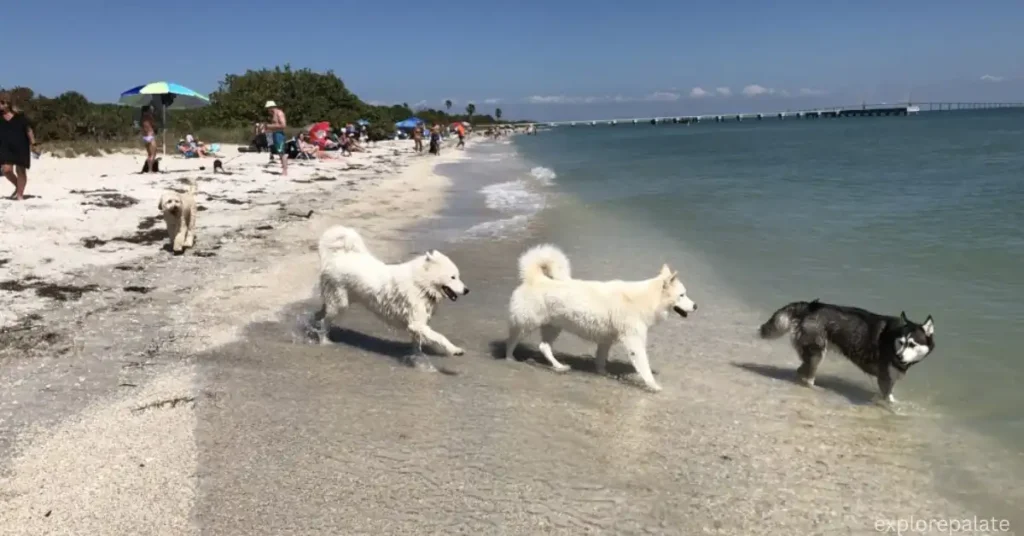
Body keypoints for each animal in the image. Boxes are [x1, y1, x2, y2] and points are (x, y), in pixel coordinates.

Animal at [313, 224, 468, 362]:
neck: (421, 284)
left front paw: (416, 358)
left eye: (458, 276)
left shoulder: (415, 325)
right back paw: (325, 341)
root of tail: (337, 257)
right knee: (325, 322)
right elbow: (440, 337)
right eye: (453, 277)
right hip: (340, 303)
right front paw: (455, 350)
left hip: (336, 301)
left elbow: (417, 344)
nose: (467, 290)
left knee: (321, 314)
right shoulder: (417, 324)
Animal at [503, 244, 696, 391]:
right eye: (682, 295)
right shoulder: (634, 342)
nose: (696, 306)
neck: (646, 299)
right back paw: (509, 358)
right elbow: (644, 367)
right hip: (527, 323)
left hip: (554, 327)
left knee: (544, 347)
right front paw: (653, 385)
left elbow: (601, 359)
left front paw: (603, 373)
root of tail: (535, 278)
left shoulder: (606, 340)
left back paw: (559, 366)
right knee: (513, 339)